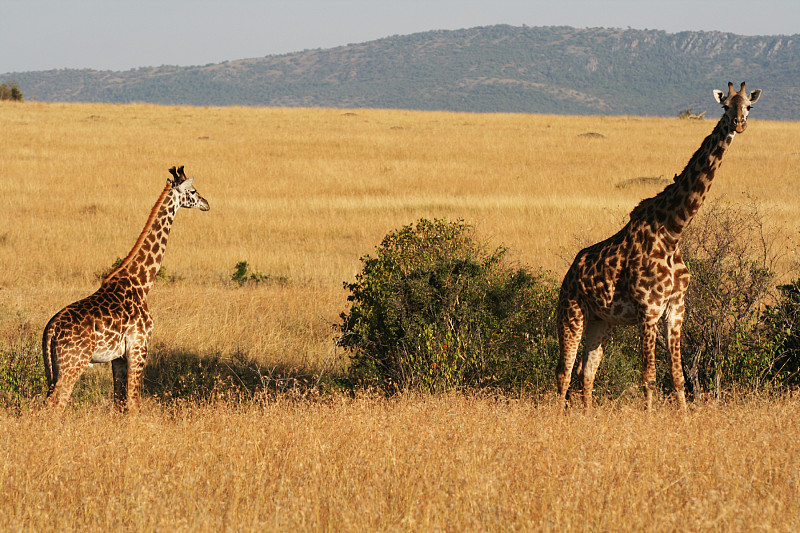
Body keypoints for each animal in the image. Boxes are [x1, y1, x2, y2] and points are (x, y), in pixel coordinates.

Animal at [43, 165, 209, 412]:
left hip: (54, 366)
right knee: (55, 404)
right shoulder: (139, 347)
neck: (142, 283)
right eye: (193, 190)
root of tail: (50, 329)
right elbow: (133, 402)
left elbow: (119, 402)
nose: (206, 203)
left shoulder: (118, 357)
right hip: (74, 362)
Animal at [556, 82, 764, 412]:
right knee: (564, 371)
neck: (672, 232)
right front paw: (650, 417)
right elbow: (649, 376)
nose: (738, 124)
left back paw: (586, 416)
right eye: (725, 106)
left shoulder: (676, 310)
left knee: (586, 370)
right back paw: (558, 417)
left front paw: (684, 418)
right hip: (571, 312)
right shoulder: (648, 310)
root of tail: (569, 273)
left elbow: (679, 377)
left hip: (602, 321)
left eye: (749, 106)